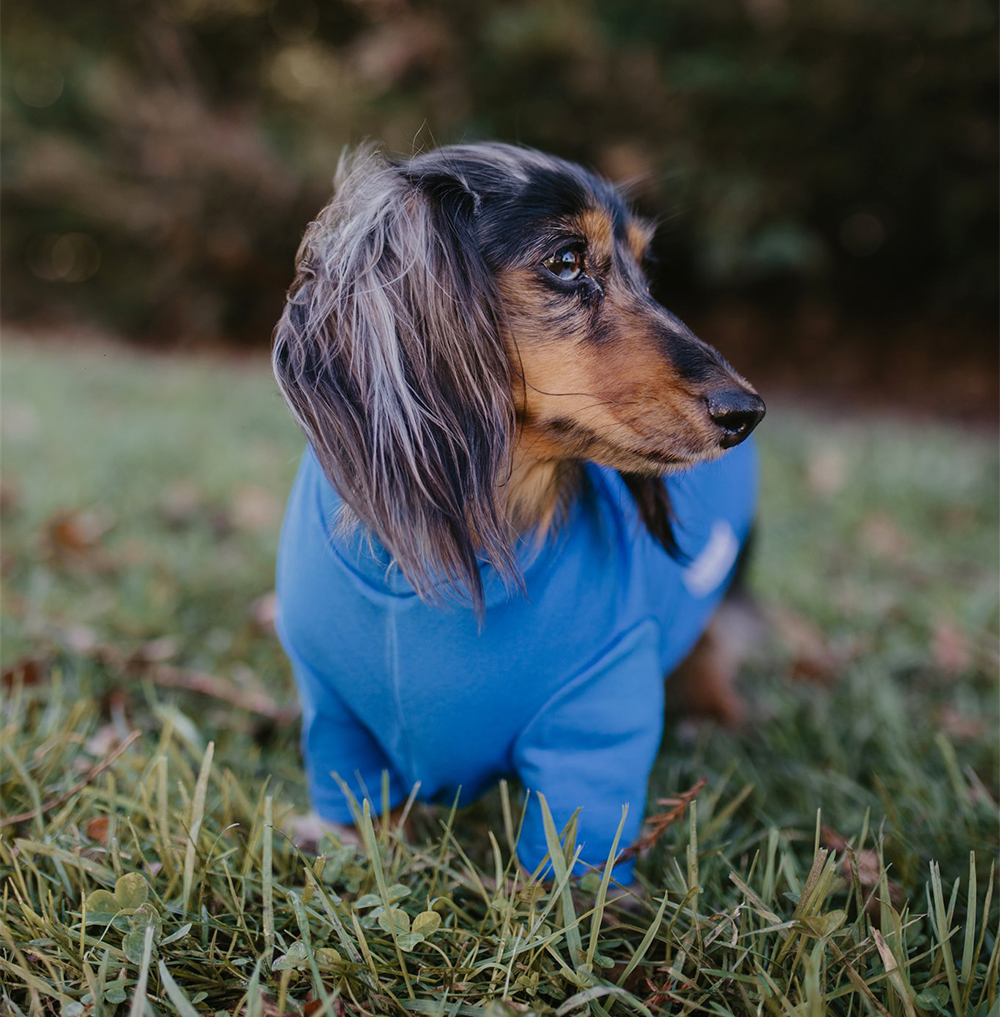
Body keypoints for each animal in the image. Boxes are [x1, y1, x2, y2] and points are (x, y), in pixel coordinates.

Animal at [270, 143, 760, 882]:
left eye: (646, 271)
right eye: (566, 260)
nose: (746, 411)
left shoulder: (598, 715)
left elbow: (580, 828)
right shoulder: (334, 712)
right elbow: (354, 788)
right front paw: (346, 842)